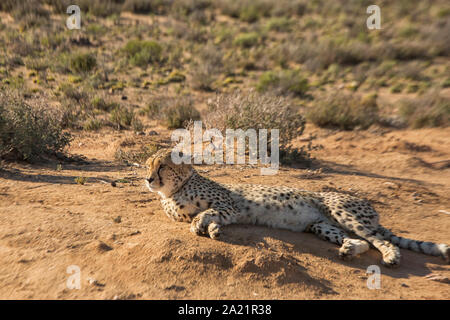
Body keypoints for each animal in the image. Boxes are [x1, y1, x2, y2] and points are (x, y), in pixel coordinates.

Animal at [146, 149, 448, 266]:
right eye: (148, 164)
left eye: (162, 166)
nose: (148, 179)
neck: (173, 191)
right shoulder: (227, 211)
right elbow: (209, 218)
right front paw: (212, 231)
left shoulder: (230, 204)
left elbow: (205, 213)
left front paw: (202, 225)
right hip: (321, 225)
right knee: (361, 241)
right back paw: (349, 250)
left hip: (343, 212)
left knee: (380, 240)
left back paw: (390, 256)